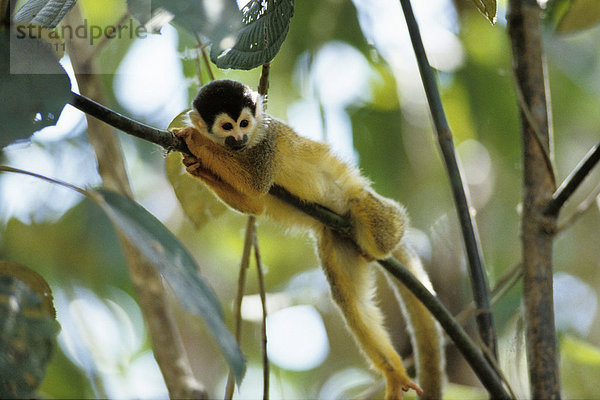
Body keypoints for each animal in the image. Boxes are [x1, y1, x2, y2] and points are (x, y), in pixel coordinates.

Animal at [171, 79, 442, 398]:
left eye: (244, 123)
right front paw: (195, 166)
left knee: (370, 216)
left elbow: (255, 181)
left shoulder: (267, 139)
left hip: (373, 212)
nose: (239, 137)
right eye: (227, 126)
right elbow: (256, 204)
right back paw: (393, 372)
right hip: (334, 239)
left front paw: (193, 140)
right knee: (350, 300)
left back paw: (380, 246)